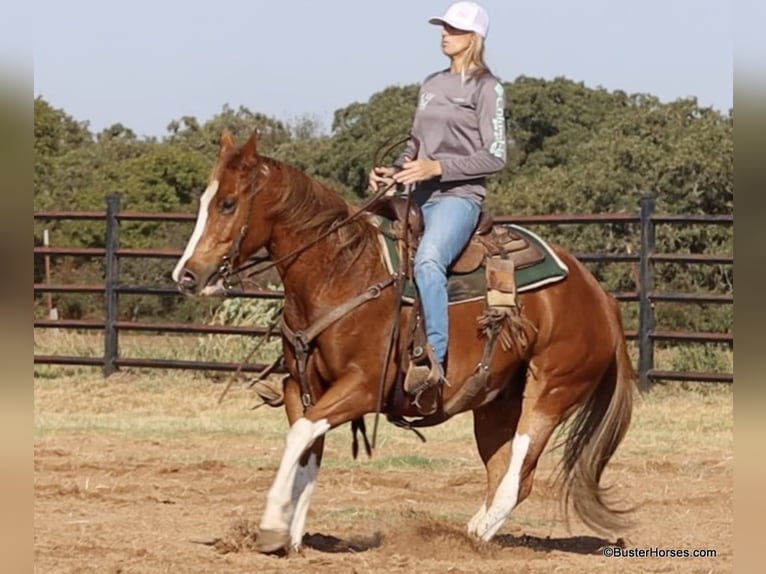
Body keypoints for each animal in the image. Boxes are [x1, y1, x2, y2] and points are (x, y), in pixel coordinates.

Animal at [171, 132, 640, 560]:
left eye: (228, 203)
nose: (187, 276)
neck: (342, 273)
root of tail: (601, 297)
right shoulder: (304, 385)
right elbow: (306, 449)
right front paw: (294, 535)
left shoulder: (362, 388)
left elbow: (300, 434)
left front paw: (272, 528)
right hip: (495, 401)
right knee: (501, 472)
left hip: (552, 392)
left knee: (517, 477)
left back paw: (465, 540)